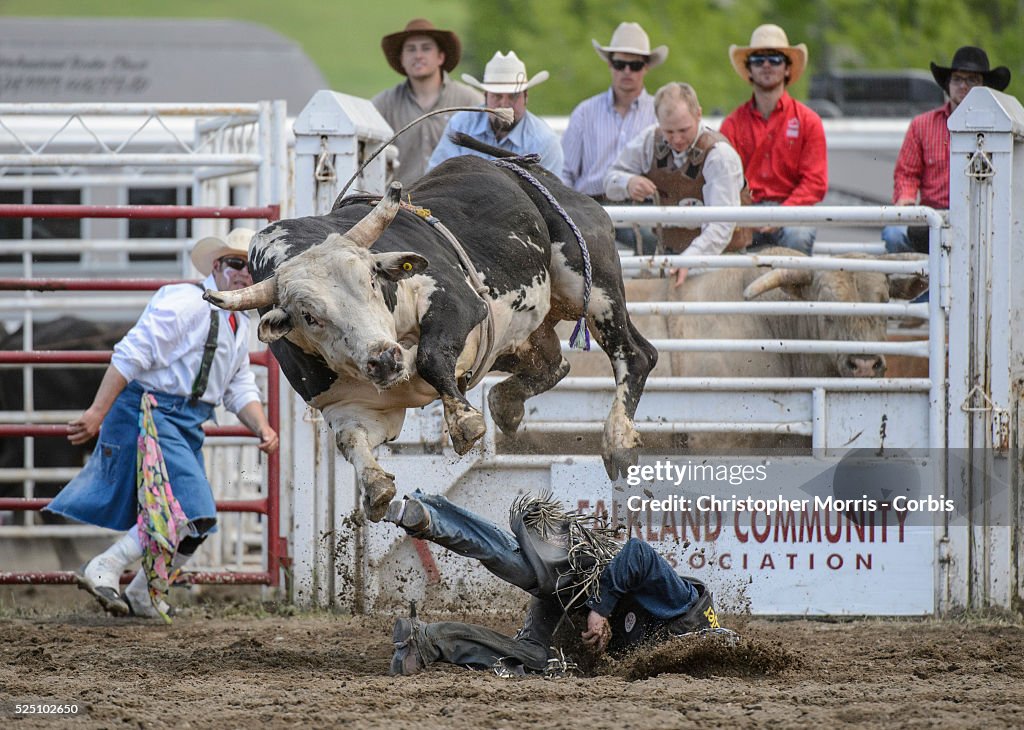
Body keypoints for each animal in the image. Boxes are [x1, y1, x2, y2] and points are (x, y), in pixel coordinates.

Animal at [206, 152, 655, 518]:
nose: (384, 359)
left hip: (590, 285)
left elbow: (430, 356)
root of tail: (526, 169)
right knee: (553, 363)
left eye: (372, 280)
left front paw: (465, 423)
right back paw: (507, 404)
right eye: (309, 316)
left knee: (635, 354)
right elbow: (353, 440)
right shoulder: (351, 405)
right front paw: (376, 488)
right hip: (521, 335)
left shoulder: (458, 303)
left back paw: (617, 440)